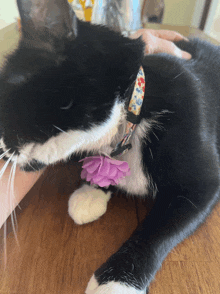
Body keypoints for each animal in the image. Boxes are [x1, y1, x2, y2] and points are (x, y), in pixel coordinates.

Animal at [0, 0, 220, 292]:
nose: (2, 148)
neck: (133, 113)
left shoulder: (200, 175)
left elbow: (159, 229)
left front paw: (118, 278)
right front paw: (91, 191)